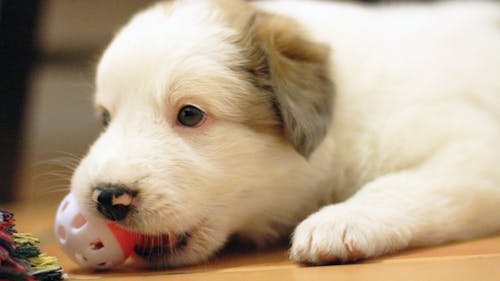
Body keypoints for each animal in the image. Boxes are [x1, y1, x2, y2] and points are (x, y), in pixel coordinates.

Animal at [69, 0, 500, 266]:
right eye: (105, 118)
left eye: (190, 115)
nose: (105, 197)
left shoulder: (473, 150)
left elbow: (399, 184)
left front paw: (341, 221)